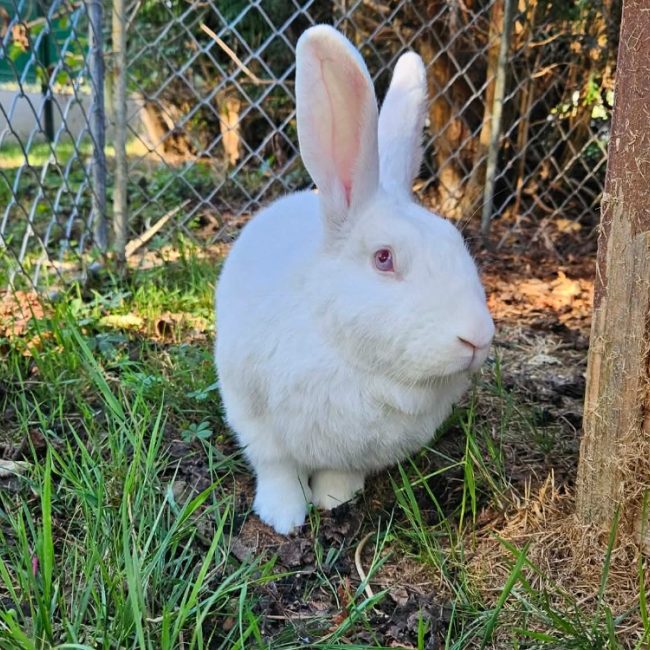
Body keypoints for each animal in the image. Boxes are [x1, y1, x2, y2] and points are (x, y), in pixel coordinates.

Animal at [214, 25, 495, 534]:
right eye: (383, 258)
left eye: (456, 243)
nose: (478, 338)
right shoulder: (254, 417)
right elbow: (277, 467)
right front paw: (285, 517)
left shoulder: (354, 453)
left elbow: (339, 474)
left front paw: (334, 501)